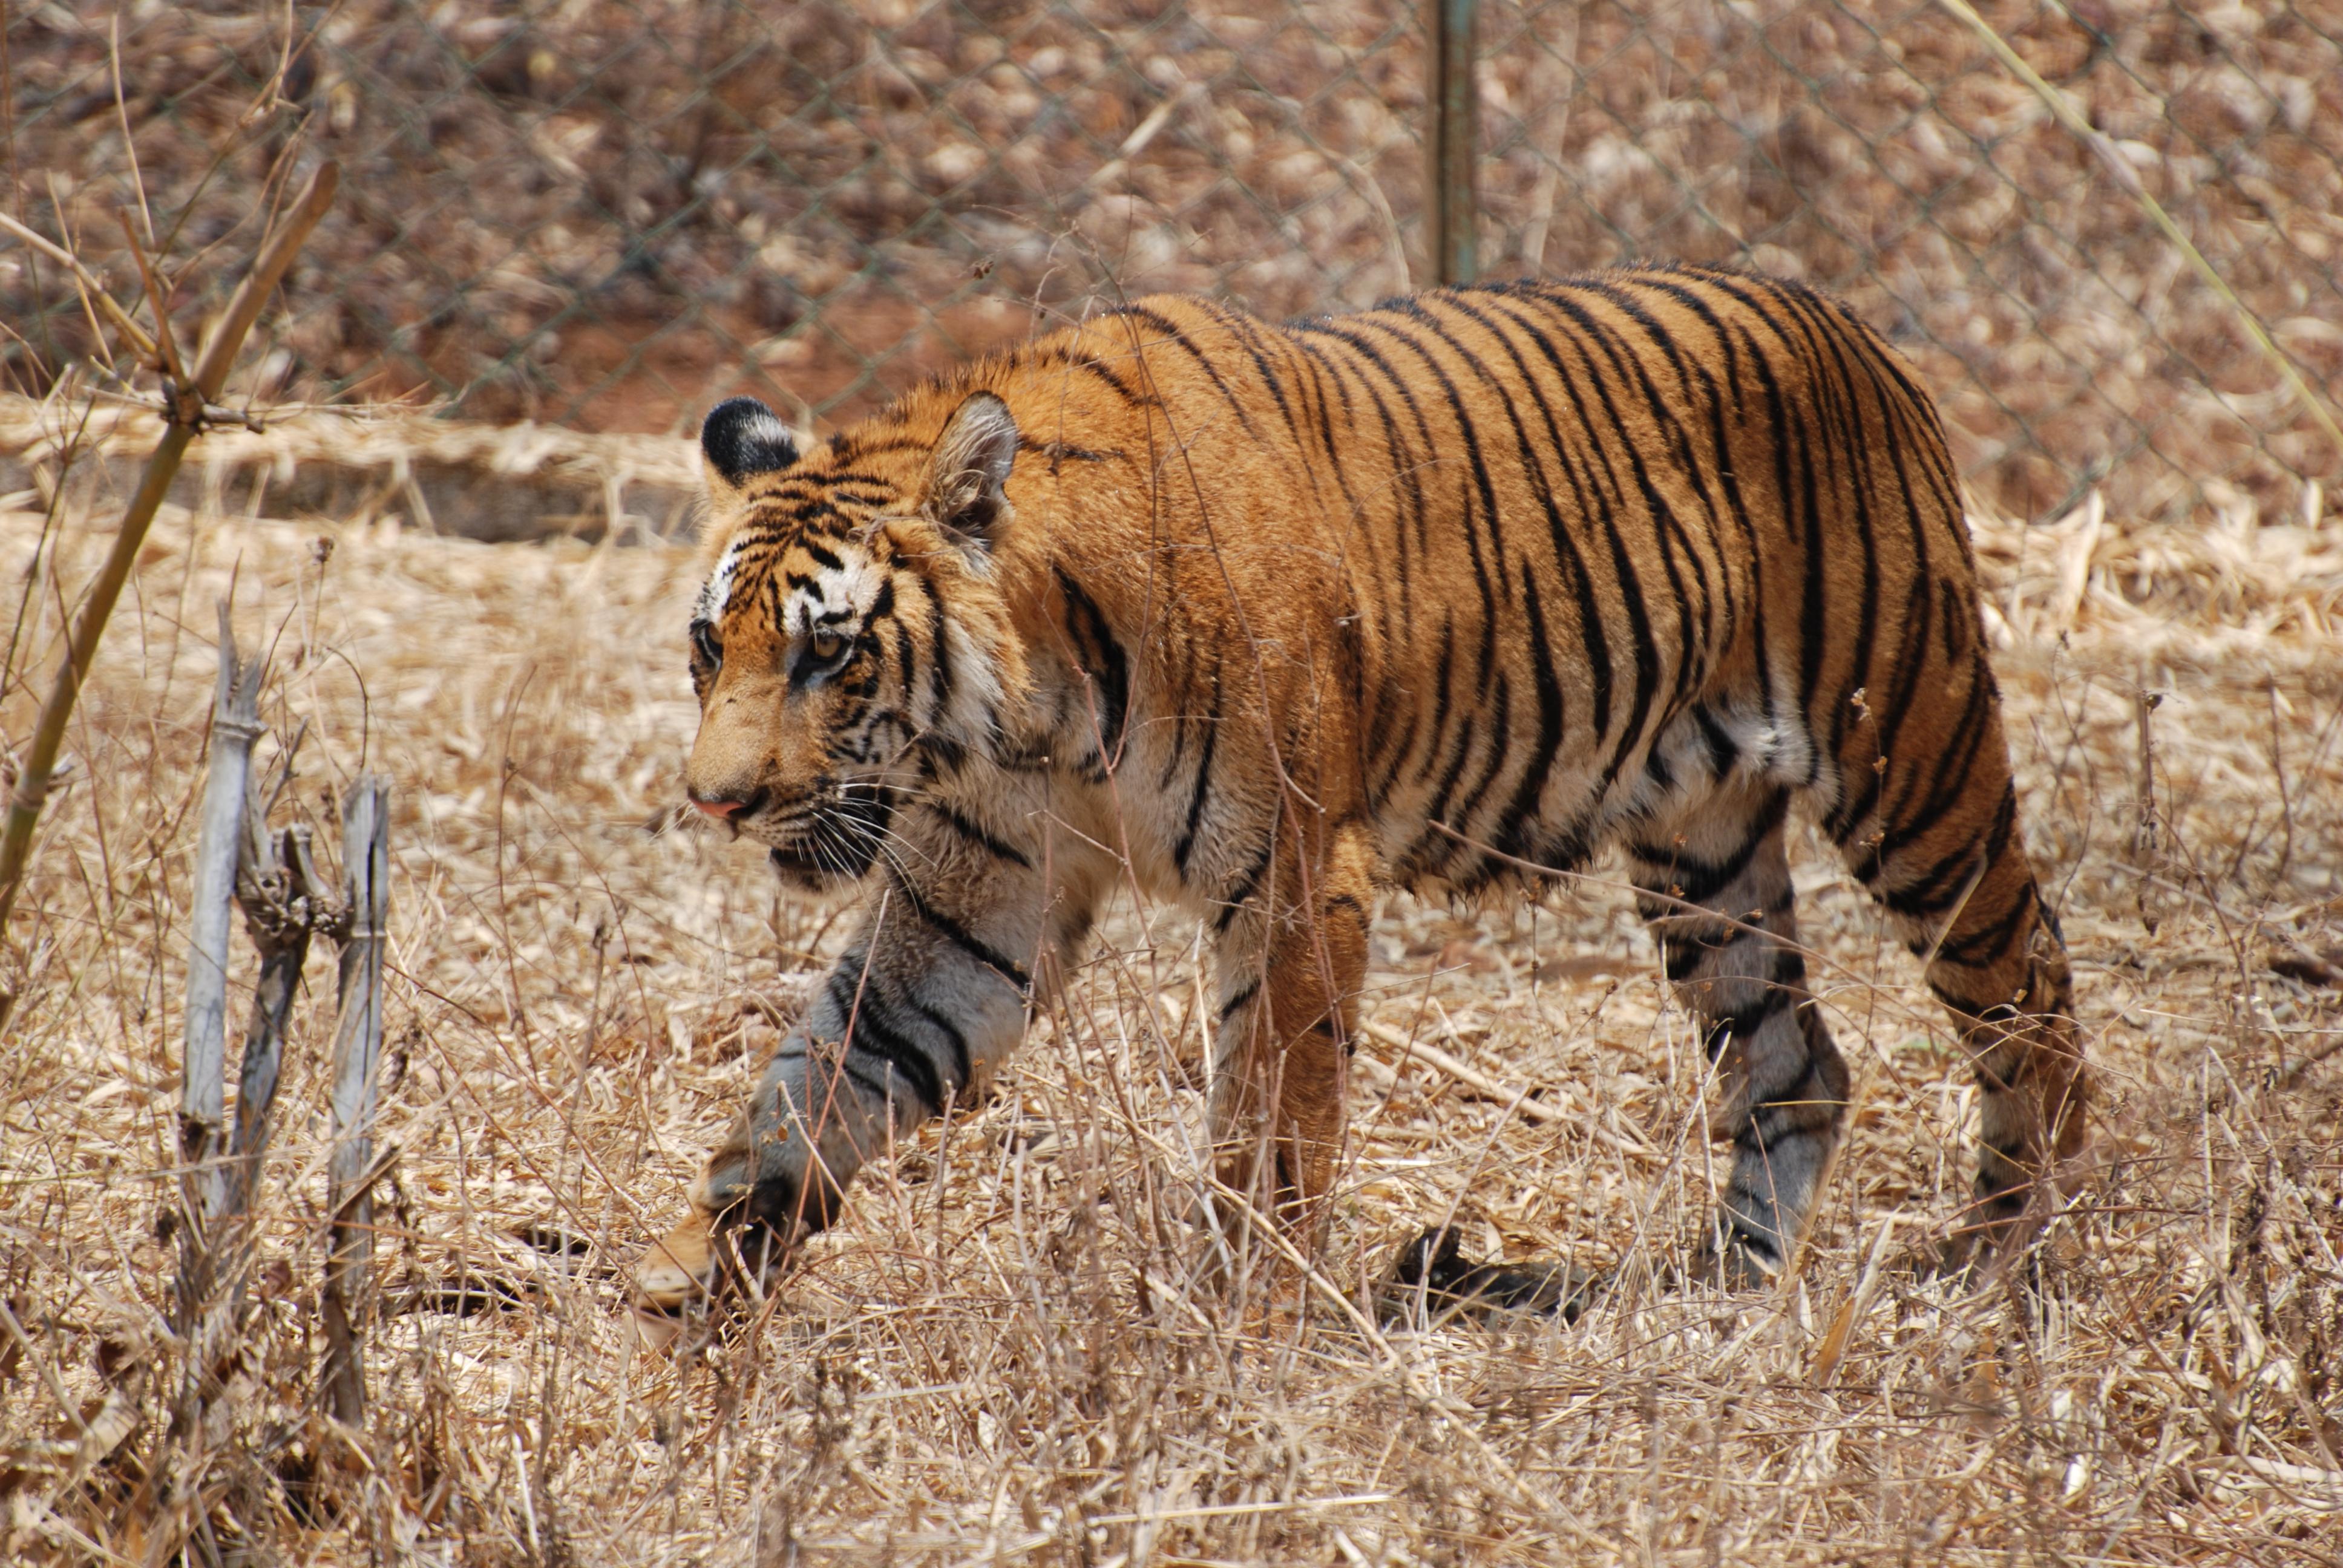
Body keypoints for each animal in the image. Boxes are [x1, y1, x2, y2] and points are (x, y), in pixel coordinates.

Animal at [633, 264, 2088, 1315]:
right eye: (710, 646)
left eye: (827, 653)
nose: (714, 804)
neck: (1027, 715)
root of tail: (1853, 331)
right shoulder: (974, 900)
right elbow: (823, 1080)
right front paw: (697, 1300)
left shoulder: (1290, 879)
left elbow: (1270, 1129)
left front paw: (1238, 1328)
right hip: (1704, 850)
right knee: (1795, 1062)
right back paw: (1725, 1293)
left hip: (1914, 764)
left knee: (2027, 991)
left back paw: (2016, 1261)